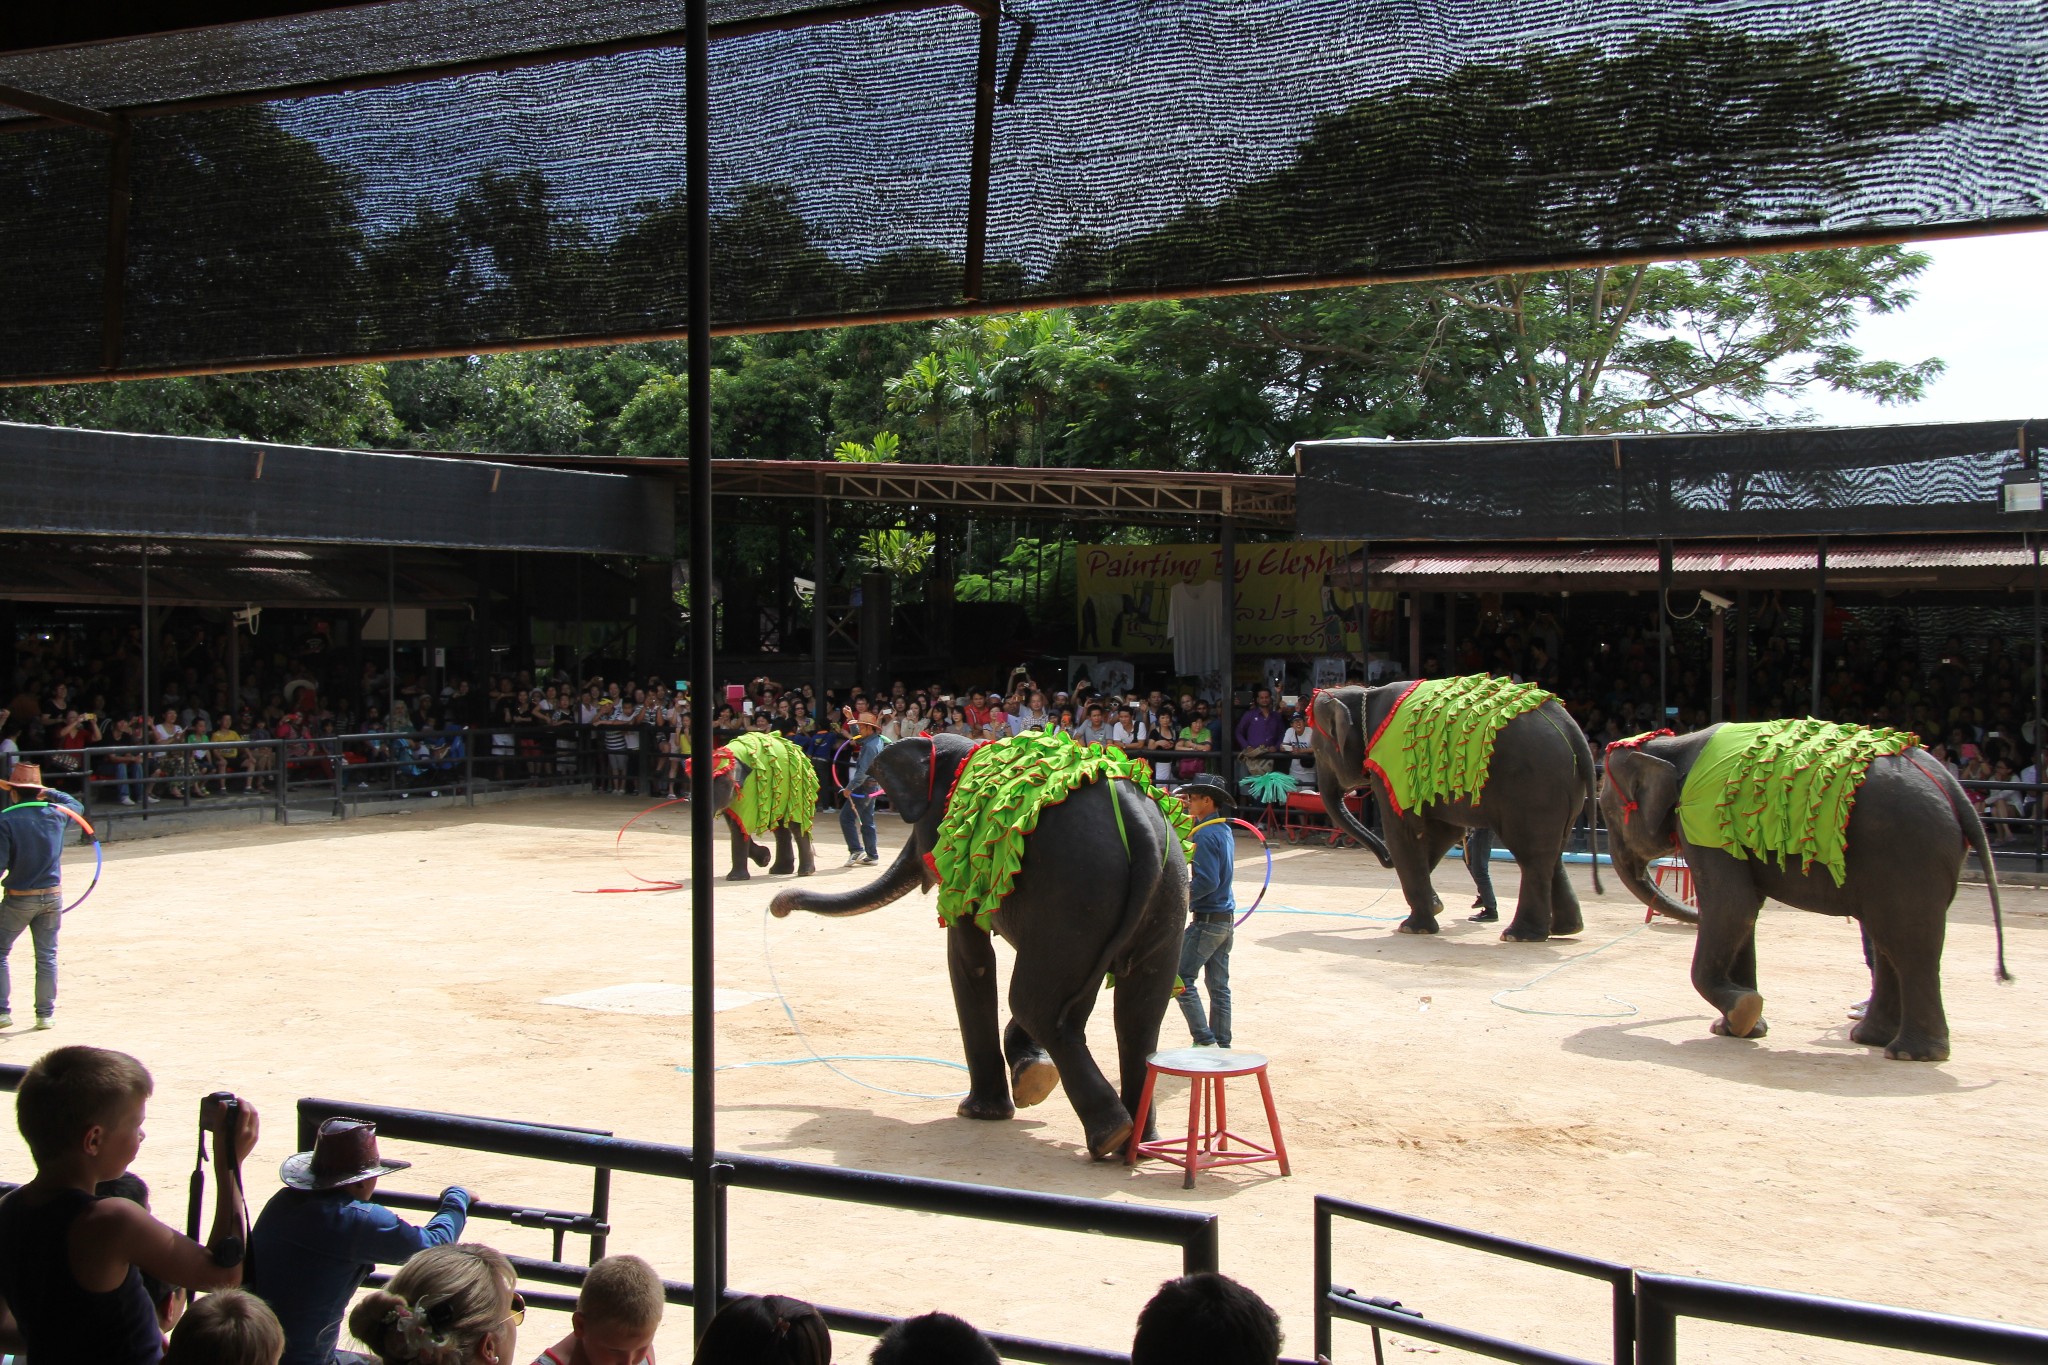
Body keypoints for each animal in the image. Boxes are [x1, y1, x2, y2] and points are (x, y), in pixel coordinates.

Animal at [770, 732, 1196, 1162]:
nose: (778, 906)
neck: (968, 749)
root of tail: (1139, 828)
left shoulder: (963, 864)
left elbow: (968, 958)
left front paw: (980, 1111)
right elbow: (1074, 994)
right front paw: (1031, 1077)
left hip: (1079, 894)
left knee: (1037, 1005)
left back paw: (1109, 1136)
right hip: (1160, 897)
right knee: (1133, 1016)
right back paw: (1137, 1144)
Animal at [1310, 671, 1597, 941]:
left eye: (1317, 750)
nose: (1385, 859)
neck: (1366, 694)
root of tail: (1574, 733)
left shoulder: (1395, 769)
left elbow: (1404, 832)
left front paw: (1414, 927)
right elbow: (1443, 831)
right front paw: (1434, 907)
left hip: (1533, 786)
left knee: (1531, 855)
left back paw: (1519, 935)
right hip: (1564, 790)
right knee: (1552, 852)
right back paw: (1565, 929)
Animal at [1597, 720, 2015, 1064]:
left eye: (1608, 813)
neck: (1670, 746)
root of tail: (1956, 792)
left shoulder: (1705, 821)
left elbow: (1732, 908)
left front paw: (1743, 1012)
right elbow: (1745, 912)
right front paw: (1740, 1027)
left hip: (1910, 854)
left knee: (1907, 945)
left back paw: (1909, 1054)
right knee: (1889, 942)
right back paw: (1872, 1039)